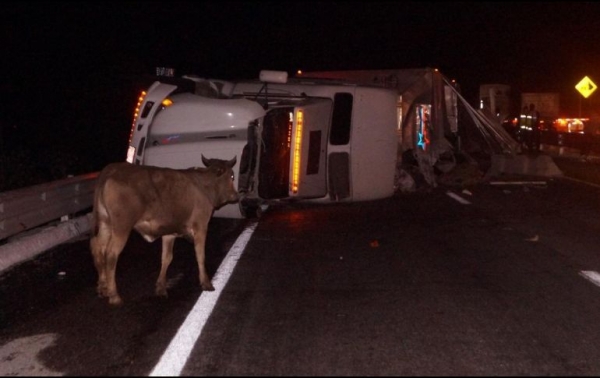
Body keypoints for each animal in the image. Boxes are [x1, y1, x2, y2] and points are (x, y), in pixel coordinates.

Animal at [90, 155, 238, 306]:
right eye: (232, 176)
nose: (236, 196)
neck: (206, 185)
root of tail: (112, 169)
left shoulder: (169, 232)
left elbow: (166, 258)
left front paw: (161, 287)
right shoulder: (201, 226)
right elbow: (200, 255)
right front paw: (206, 283)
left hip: (105, 222)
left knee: (98, 247)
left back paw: (102, 287)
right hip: (122, 226)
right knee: (111, 253)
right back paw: (114, 295)